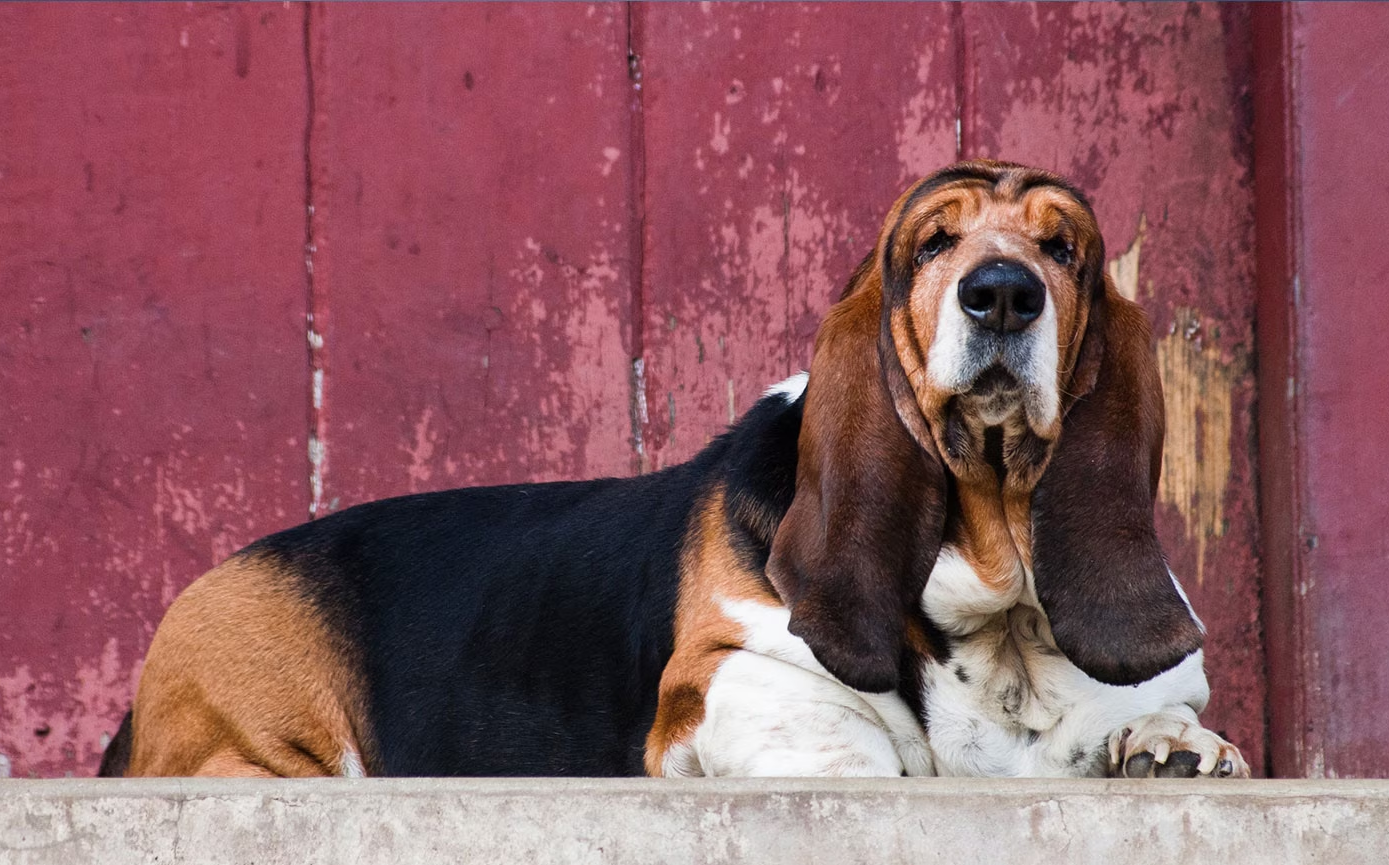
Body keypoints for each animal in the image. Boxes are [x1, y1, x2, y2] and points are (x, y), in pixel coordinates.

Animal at [97, 158, 1250, 783]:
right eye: (932, 245)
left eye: (1065, 250)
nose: (1003, 291)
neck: (998, 604)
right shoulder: (722, 680)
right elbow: (852, 742)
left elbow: (1150, 717)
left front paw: (1169, 744)